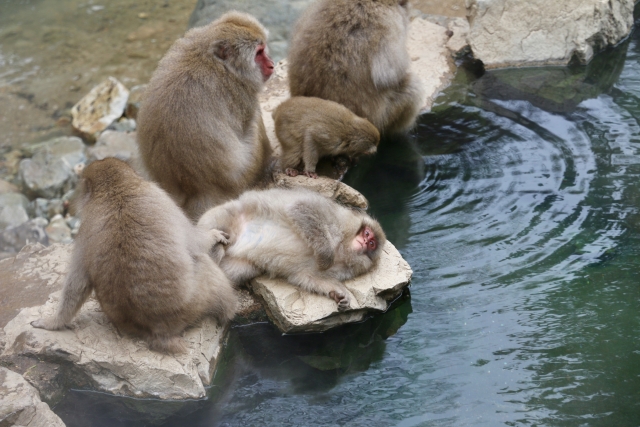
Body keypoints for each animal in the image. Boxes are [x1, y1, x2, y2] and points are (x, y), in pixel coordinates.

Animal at [31, 158, 237, 354]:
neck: (115, 189)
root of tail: (157, 331)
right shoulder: (161, 195)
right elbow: (194, 243)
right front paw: (213, 235)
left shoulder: (84, 229)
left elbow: (78, 280)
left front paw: (53, 322)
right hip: (198, 299)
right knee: (205, 265)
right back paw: (228, 313)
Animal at [136, 11, 275, 221]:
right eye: (259, 53)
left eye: (263, 49)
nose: (272, 65)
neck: (212, 59)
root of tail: (198, 191)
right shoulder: (242, 96)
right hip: (246, 171)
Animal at [197, 188, 386, 311]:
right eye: (366, 233)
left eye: (372, 244)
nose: (364, 242)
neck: (344, 247)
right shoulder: (336, 218)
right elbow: (301, 208)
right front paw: (325, 258)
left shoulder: (344, 269)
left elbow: (309, 277)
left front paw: (339, 294)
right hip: (226, 216)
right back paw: (212, 243)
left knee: (237, 271)